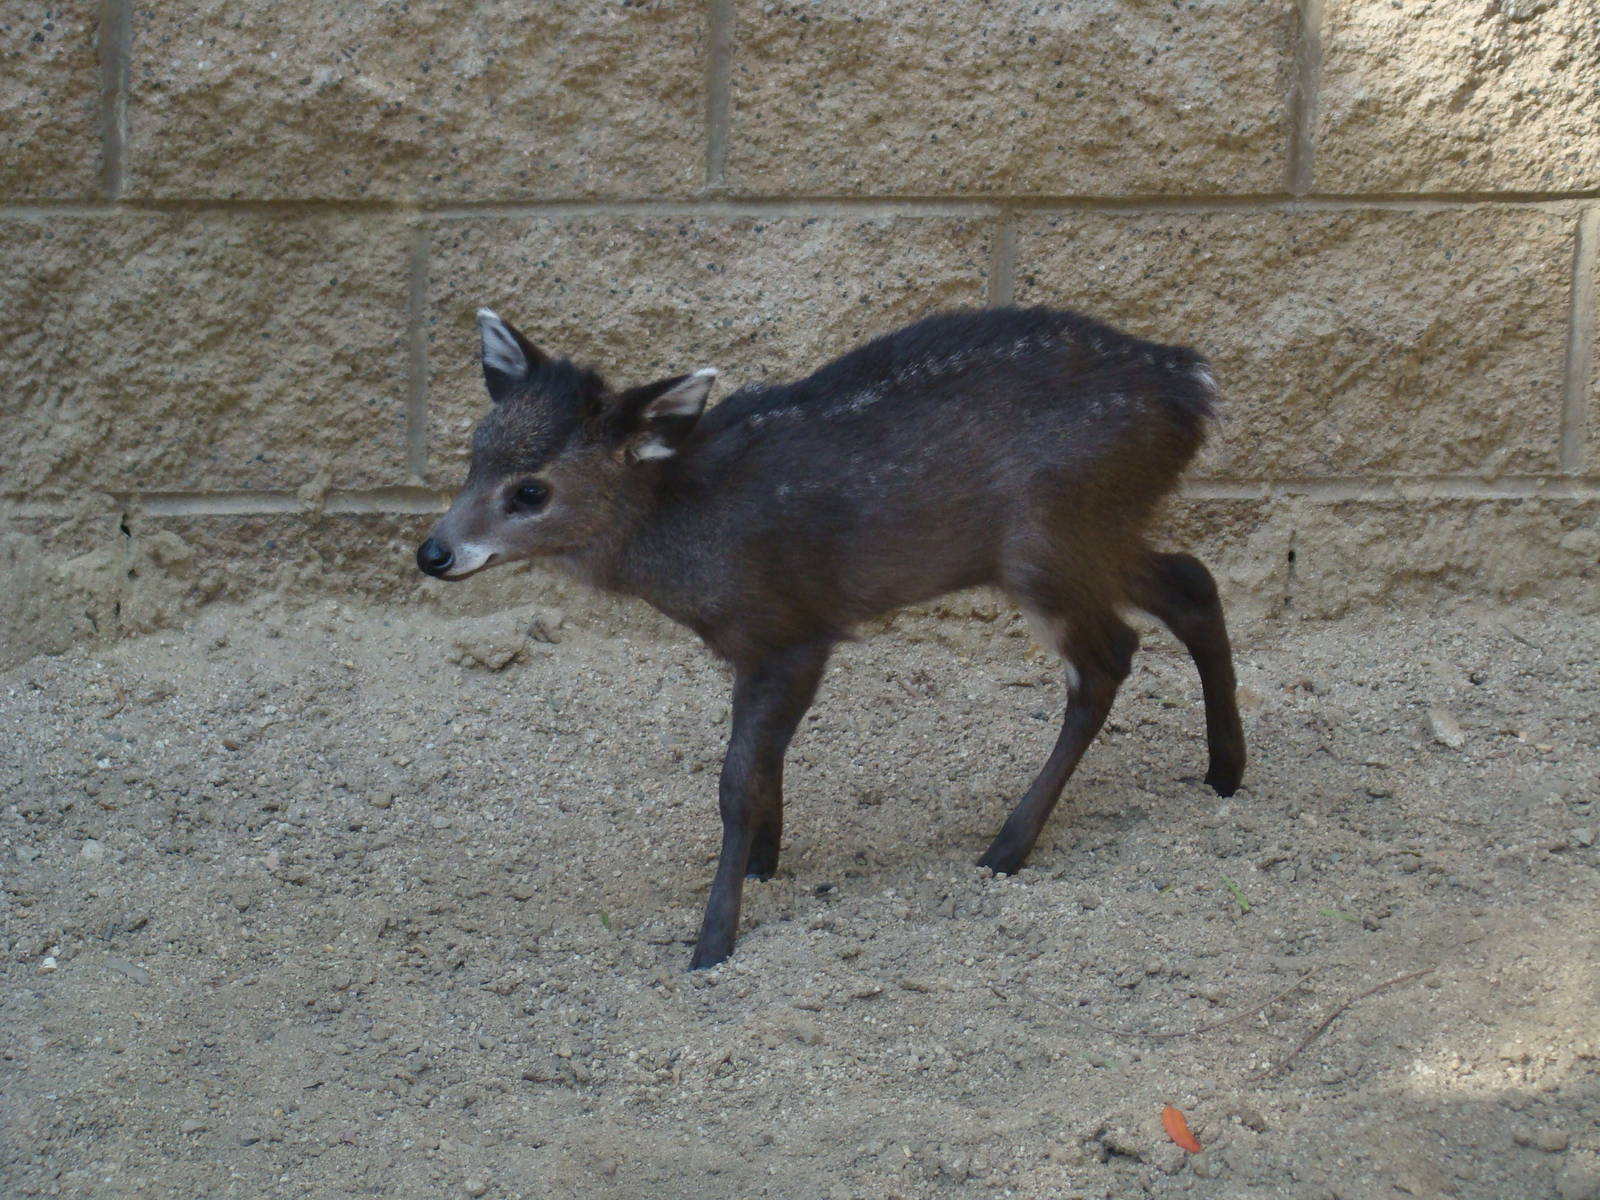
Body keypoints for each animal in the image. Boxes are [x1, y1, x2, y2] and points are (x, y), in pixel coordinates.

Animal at [417, 305, 1246, 968]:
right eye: (474, 454)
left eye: (531, 491)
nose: (433, 553)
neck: (689, 528)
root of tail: (1194, 384)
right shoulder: (758, 646)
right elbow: (764, 764)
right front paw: (765, 863)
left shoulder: (794, 632)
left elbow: (736, 781)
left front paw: (713, 940)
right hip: (1098, 533)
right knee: (1191, 583)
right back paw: (1224, 773)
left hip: (1048, 543)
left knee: (1108, 659)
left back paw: (1006, 848)